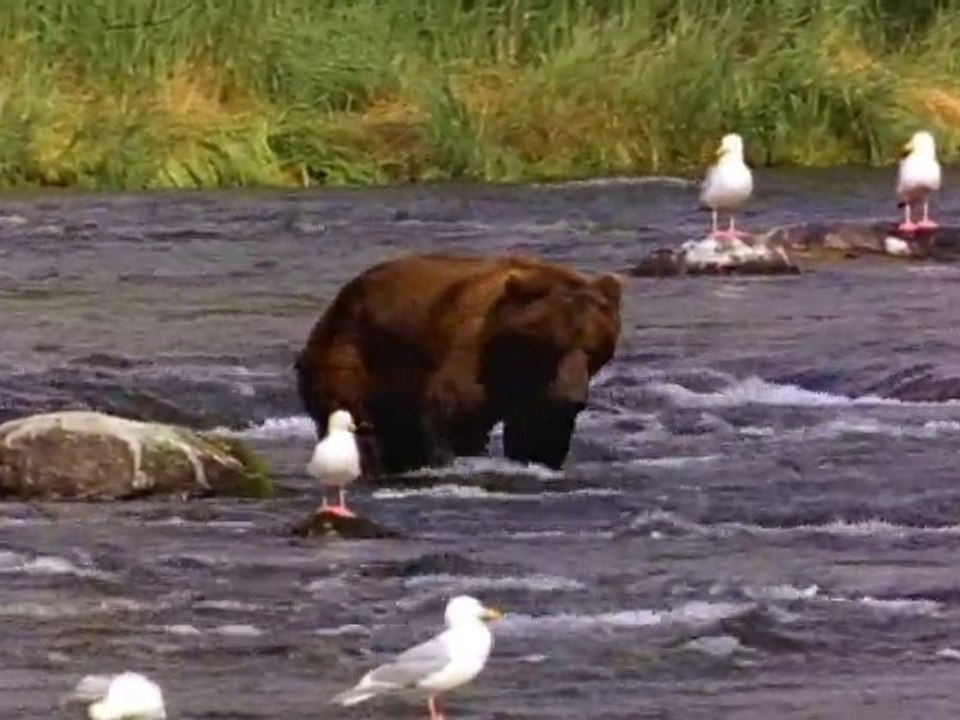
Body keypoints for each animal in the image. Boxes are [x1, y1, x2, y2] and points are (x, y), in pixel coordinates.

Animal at [294, 253, 622, 476]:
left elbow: (540, 430)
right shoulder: (471, 353)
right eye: (554, 346)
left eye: (596, 349)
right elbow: (456, 418)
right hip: (352, 353)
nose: (573, 398)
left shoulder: (536, 391)